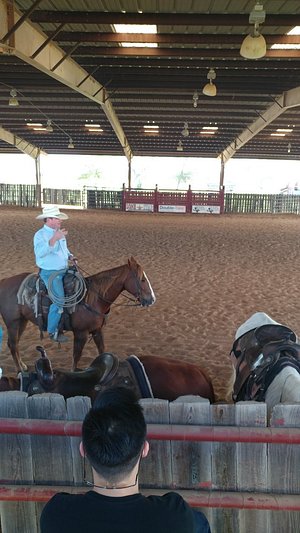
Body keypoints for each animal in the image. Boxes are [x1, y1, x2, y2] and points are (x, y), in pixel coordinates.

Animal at [0, 256, 156, 372]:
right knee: (13, 344)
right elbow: (76, 356)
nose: (152, 299)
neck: (92, 297)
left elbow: (102, 351)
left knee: (14, 343)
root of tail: (4, 281)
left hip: (22, 321)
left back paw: (23, 366)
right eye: (142, 279)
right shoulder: (81, 333)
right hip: (13, 323)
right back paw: (20, 369)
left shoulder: (97, 330)